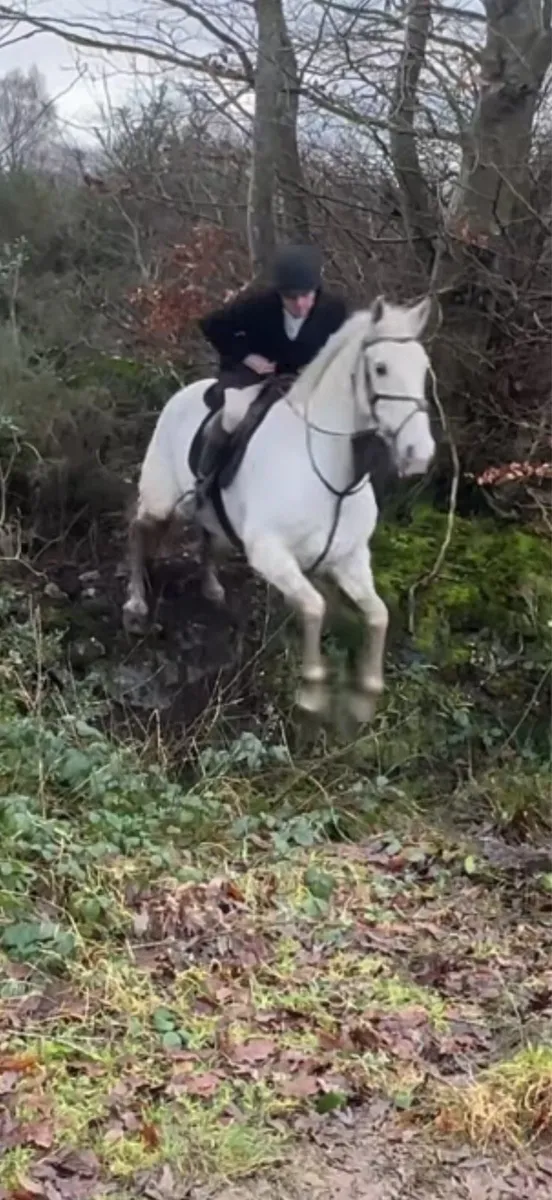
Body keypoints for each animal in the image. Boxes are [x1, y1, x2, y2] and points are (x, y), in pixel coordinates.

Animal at [122, 294, 437, 722]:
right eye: (381, 368)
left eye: (422, 368)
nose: (419, 454)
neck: (331, 476)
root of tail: (184, 393)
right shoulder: (271, 554)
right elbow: (314, 608)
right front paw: (312, 691)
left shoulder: (350, 559)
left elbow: (377, 615)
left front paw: (367, 693)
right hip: (161, 500)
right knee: (139, 532)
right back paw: (136, 604)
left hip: (210, 517)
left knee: (207, 537)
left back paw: (211, 587)